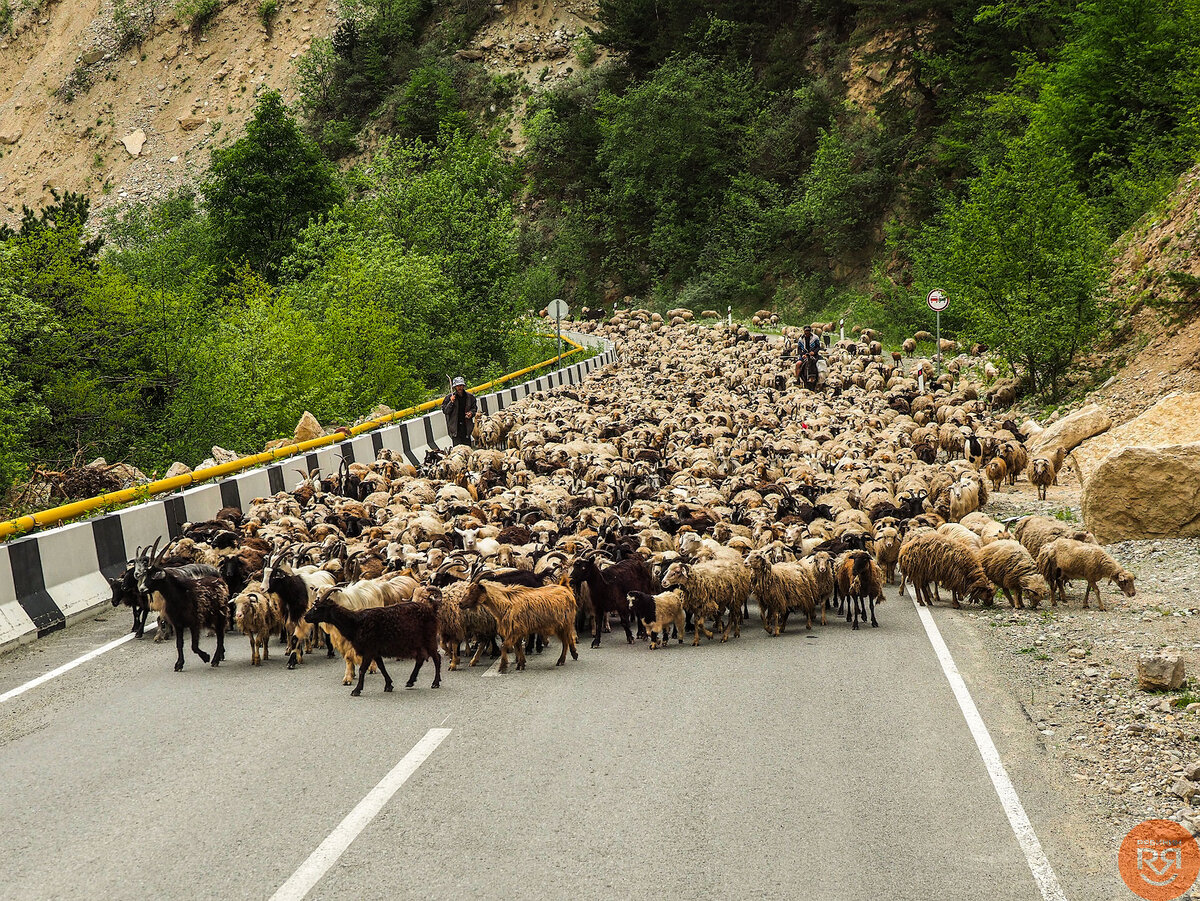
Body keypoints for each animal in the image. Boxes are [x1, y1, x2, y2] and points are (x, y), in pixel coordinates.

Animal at [304, 592, 441, 695]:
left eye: (316, 608)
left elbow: (362, 669)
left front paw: (356, 690)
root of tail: (432, 610)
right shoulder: (375, 650)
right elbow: (381, 666)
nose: (305, 617)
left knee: (436, 658)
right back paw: (410, 681)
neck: (356, 623)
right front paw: (388, 685)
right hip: (418, 642)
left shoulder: (369, 649)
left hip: (429, 638)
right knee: (420, 659)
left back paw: (435, 682)